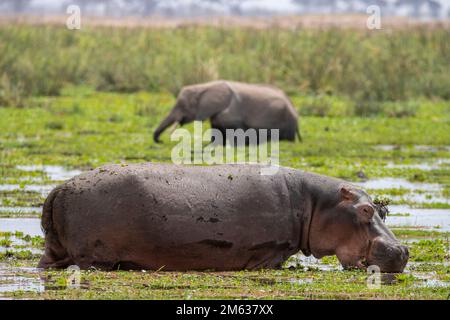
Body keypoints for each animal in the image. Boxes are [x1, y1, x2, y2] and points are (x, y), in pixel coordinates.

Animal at [40, 165, 410, 272]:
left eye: (383, 209)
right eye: (364, 211)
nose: (403, 250)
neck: (314, 202)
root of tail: (59, 188)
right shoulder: (269, 253)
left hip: (54, 251)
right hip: (93, 256)